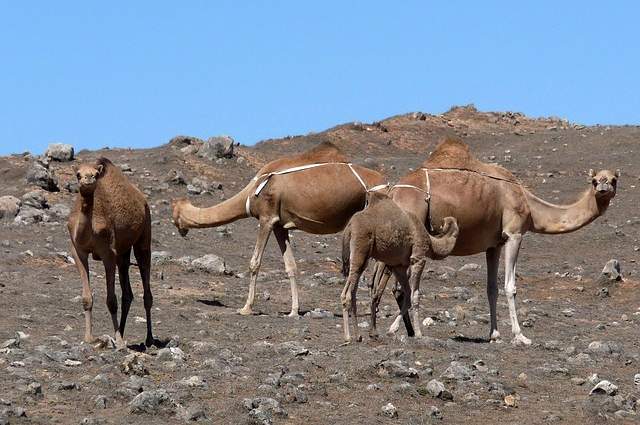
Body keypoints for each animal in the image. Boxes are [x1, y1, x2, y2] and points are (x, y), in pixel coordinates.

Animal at [68, 157, 156, 348]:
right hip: (123, 252)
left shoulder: (108, 253)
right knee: (127, 293)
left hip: (144, 235)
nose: (88, 178)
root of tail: (142, 199)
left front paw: (119, 342)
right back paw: (122, 332)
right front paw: (88, 338)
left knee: (146, 289)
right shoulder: (78, 251)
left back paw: (149, 339)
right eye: (78, 174)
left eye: (95, 173)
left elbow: (111, 301)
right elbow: (87, 298)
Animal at [340, 190, 460, 342]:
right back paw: (350, 336)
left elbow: (406, 294)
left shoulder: (398, 266)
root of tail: (349, 226)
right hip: (360, 250)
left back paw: (356, 335)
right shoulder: (418, 258)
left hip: (362, 257)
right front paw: (418, 333)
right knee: (348, 293)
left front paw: (393, 329)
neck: (430, 242)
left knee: (352, 291)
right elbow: (415, 295)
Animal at [372, 138, 616, 344]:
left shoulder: (494, 244)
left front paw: (495, 334)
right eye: (594, 181)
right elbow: (510, 286)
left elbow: (492, 288)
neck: (529, 205)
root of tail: (393, 193)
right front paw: (520, 336)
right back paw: (401, 330)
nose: (603, 188)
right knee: (396, 285)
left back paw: (400, 329)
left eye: (613, 180)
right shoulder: (514, 233)